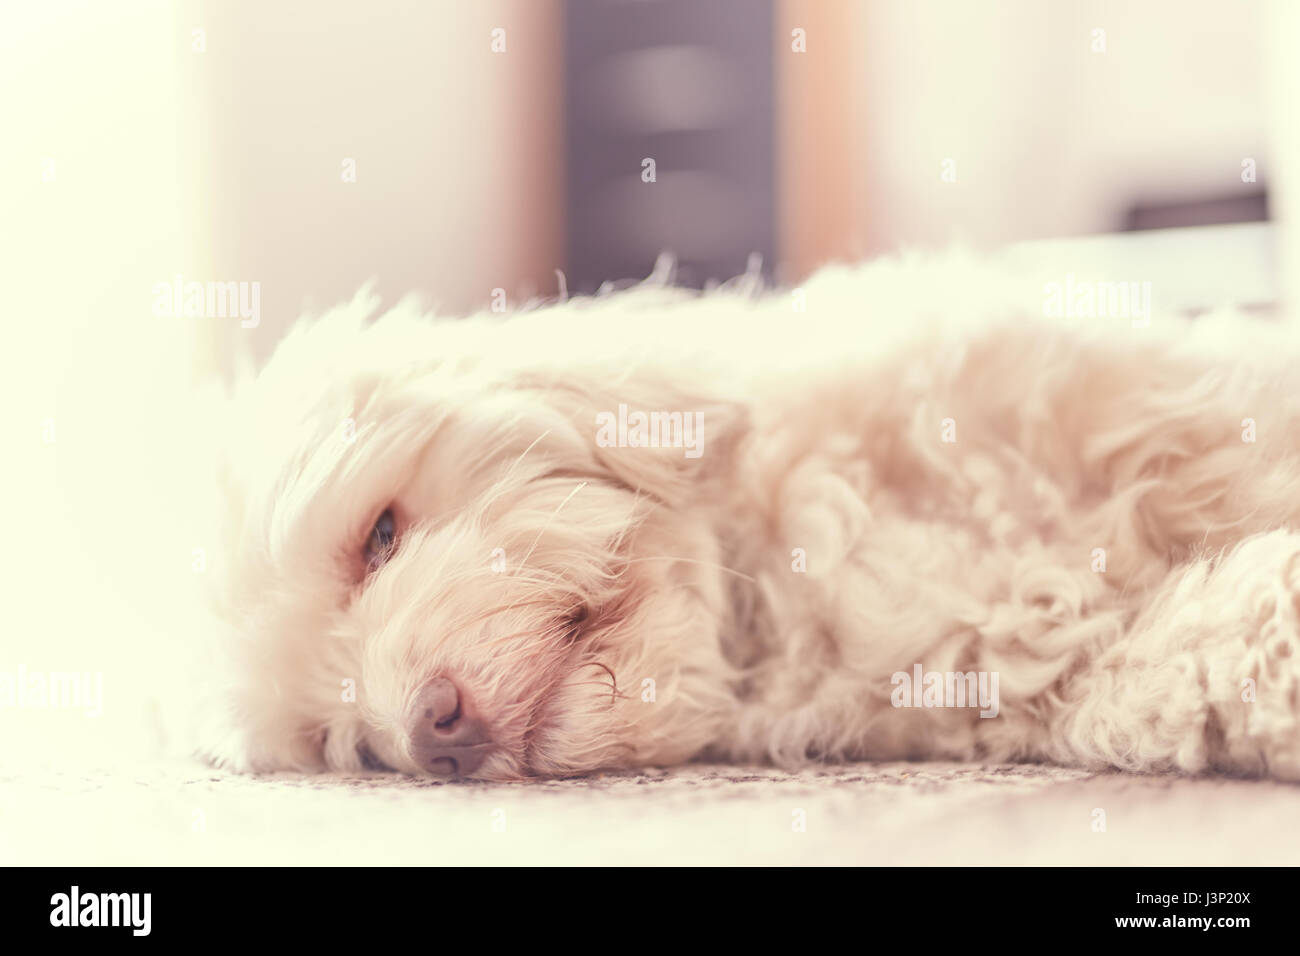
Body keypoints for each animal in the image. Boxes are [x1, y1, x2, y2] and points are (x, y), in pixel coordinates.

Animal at [189, 257, 1300, 780]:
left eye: (377, 535)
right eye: (348, 744)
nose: (432, 734)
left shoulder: (1151, 411)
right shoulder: (1044, 669)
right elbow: (1208, 659)